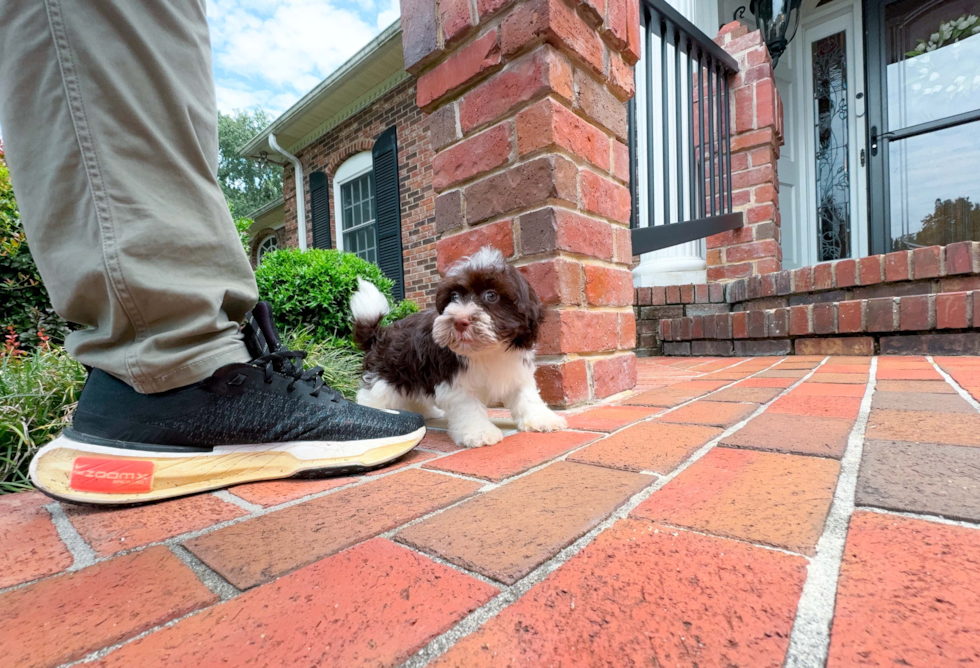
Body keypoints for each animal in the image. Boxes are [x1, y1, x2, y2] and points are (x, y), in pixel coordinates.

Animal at [350, 248, 568, 446]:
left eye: (491, 296)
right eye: (454, 297)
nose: (459, 321)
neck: (487, 350)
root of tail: (379, 334)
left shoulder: (516, 369)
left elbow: (526, 395)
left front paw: (542, 418)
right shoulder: (454, 381)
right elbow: (468, 406)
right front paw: (479, 433)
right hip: (386, 376)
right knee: (373, 395)